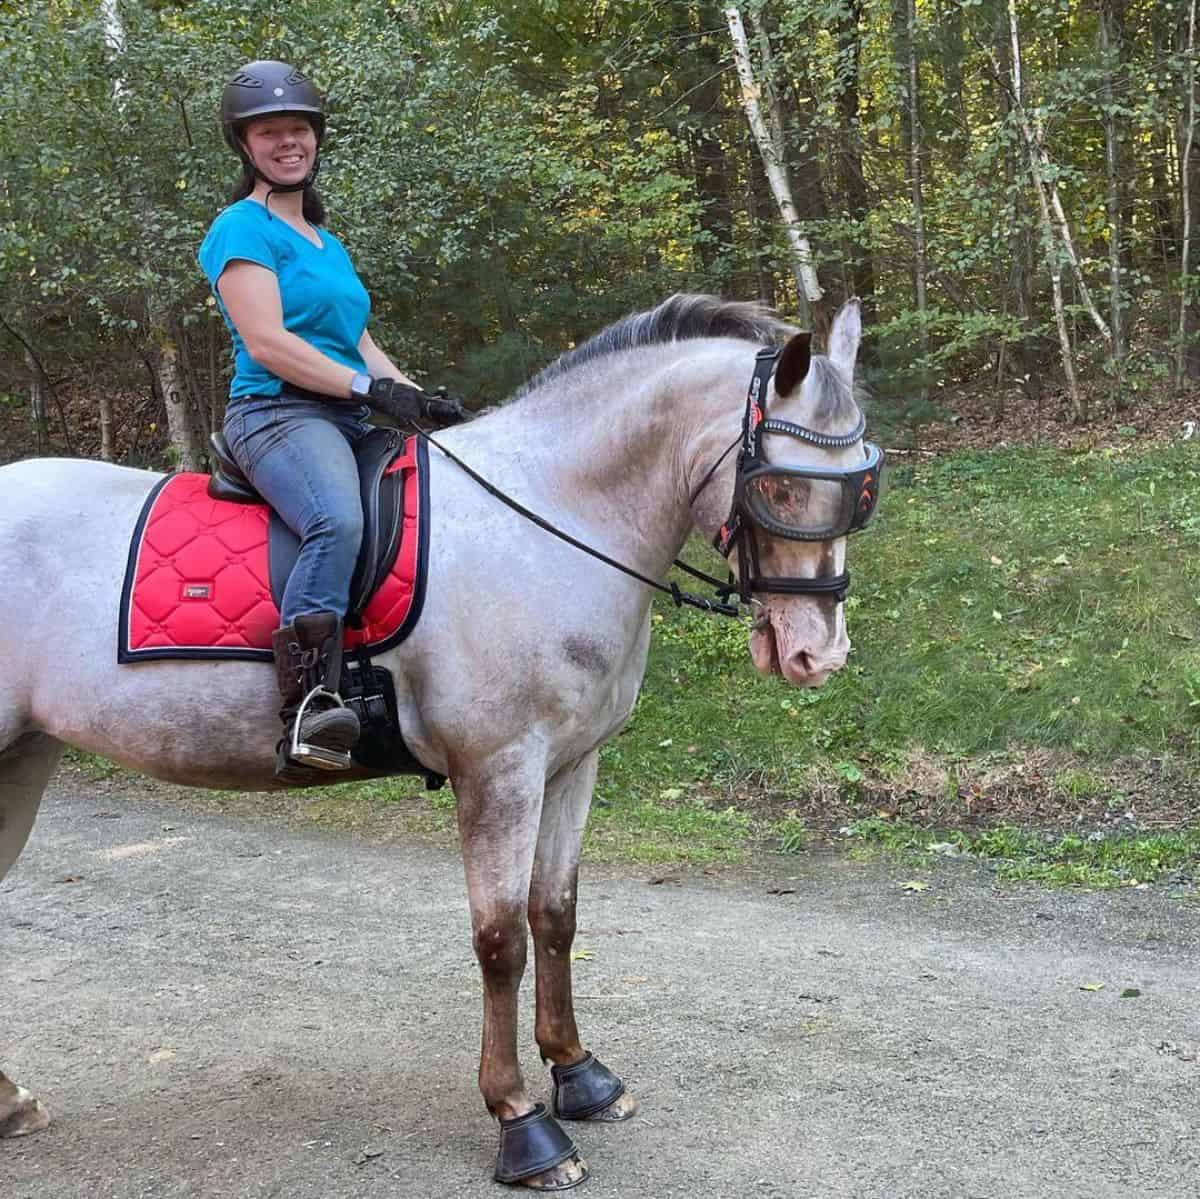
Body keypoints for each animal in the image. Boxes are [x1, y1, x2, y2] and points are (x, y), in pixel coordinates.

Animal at [4, 295, 878, 1185]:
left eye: (861, 491)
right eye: (778, 486)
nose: (818, 654)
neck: (549, 517)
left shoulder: (571, 766)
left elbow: (555, 916)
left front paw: (579, 1073)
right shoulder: (499, 769)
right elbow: (501, 940)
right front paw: (522, 1121)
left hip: (25, 759)